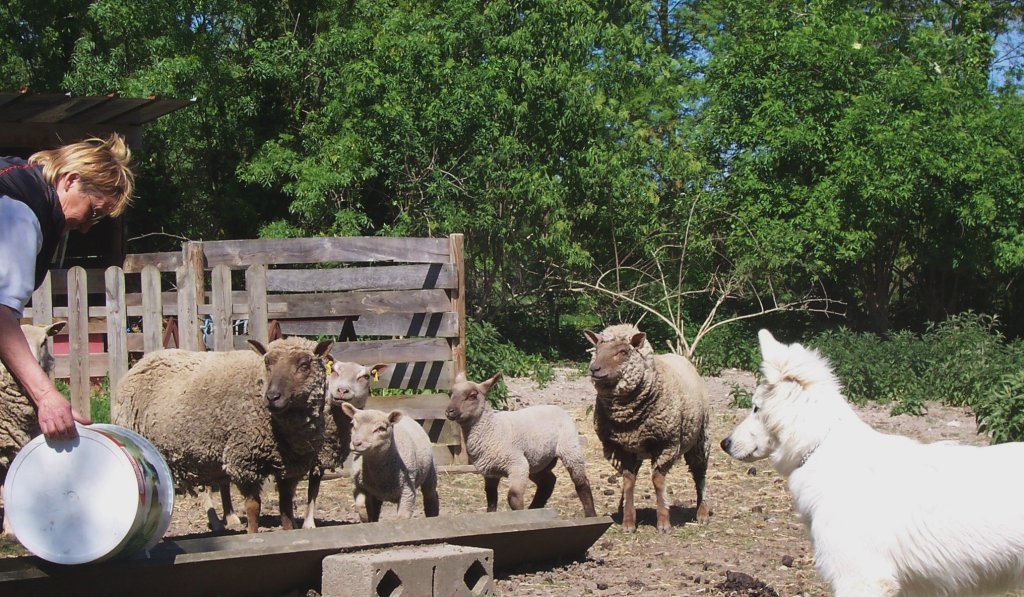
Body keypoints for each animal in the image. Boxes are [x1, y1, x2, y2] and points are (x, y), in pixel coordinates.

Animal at [115, 335, 331, 536]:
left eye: (304, 365)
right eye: (267, 363)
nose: (272, 397)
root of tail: (143, 361)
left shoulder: (290, 466)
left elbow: (286, 509)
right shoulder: (244, 461)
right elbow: (253, 507)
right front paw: (252, 535)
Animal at [301, 362, 389, 528]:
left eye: (365, 376)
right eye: (334, 371)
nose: (342, 390)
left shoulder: (319, 459)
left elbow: (313, 491)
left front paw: (308, 524)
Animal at [444, 372, 598, 518]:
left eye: (472, 395)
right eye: (451, 394)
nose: (449, 411)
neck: (492, 428)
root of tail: (557, 408)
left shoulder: (517, 465)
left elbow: (513, 498)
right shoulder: (490, 473)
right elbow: (491, 500)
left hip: (570, 447)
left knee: (581, 482)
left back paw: (590, 514)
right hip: (538, 461)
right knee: (548, 482)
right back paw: (535, 508)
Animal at [585, 325, 712, 536]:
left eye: (623, 352)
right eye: (596, 349)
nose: (594, 369)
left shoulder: (666, 444)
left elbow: (658, 481)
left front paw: (663, 523)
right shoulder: (622, 447)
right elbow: (628, 480)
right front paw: (628, 522)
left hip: (701, 438)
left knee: (699, 474)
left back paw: (702, 512)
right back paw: (622, 509)